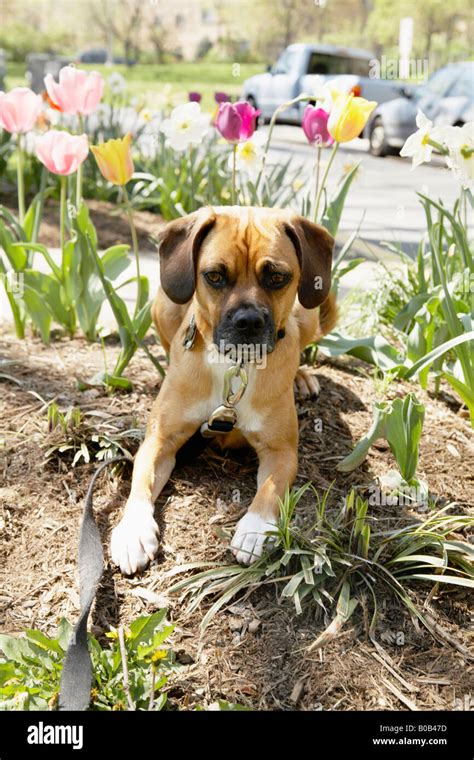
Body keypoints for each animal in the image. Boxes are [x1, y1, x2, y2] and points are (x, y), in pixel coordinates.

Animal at [110, 205, 336, 572]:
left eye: (277, 277)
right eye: (214, 276)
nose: (248, 321)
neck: (236, 366)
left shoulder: (282, 452)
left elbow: (270, 488)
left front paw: (255, 528)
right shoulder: (159, 441)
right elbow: (140, 483)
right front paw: (132, 530)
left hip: (310, 310)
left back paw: (301, 376)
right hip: (166, 305)